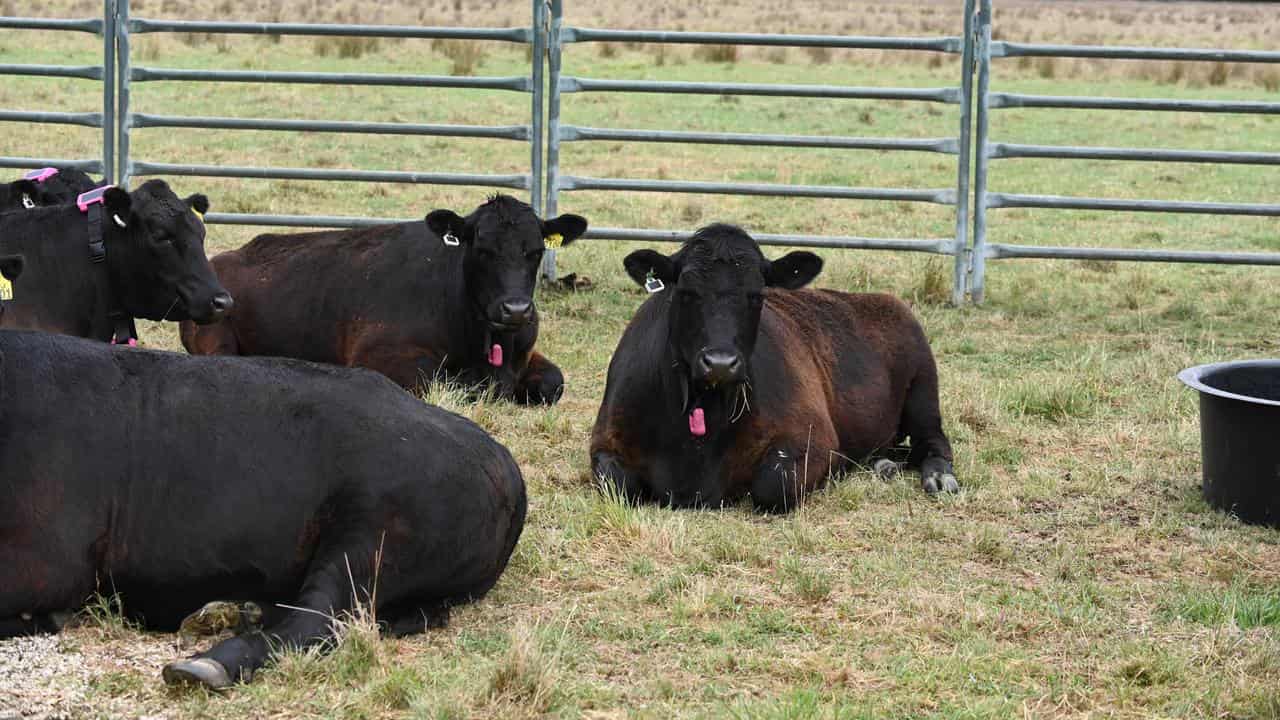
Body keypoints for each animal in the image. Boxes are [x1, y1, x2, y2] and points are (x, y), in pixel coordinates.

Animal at [0, 326, 524, 691]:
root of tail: (498, 455)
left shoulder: (50, 562)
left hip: (372, 534)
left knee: (318, 619)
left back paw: (209, 662)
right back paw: (236, 610)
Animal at [181, 193, 588, 399]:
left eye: (535, 251)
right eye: (482, 248)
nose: (515, 309)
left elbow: (553, 381)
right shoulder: (379, 356)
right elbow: (438, 381)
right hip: (214, 336)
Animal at [586, 224, 957, 509]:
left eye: (757, 295)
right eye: (687, 291)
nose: (720, 363)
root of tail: (882, 299)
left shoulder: (814, 438)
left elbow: (772, 485)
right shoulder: (604, 441)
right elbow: (621, 485)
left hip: (924, 390)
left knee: (932, 441)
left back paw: (939, 476)